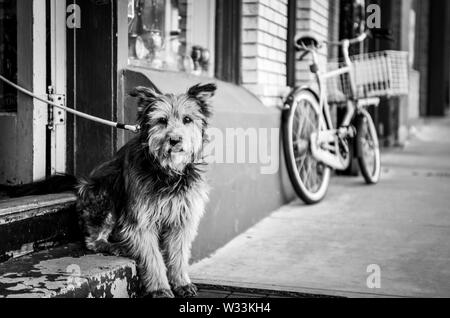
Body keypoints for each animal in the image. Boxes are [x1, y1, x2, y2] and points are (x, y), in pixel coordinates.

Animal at [1, 84, 216, 298]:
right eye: (162, 120)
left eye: (187, 119)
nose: (175, 140)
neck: (167, 172)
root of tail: (82, 182)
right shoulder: (141, 221)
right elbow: (152, 258)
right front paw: (160, 288)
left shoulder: (182, 220)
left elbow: (178, 255)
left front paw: (181, 282)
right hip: (105, 197)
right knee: (94, 241)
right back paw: (118, 246)